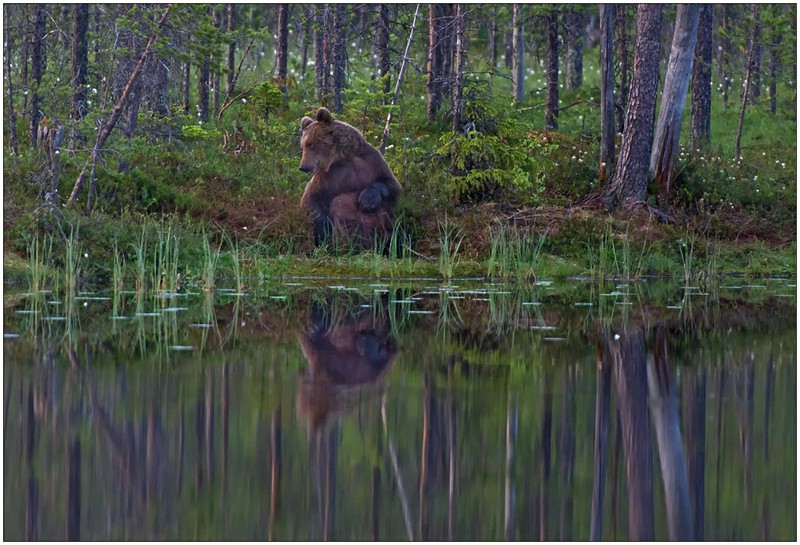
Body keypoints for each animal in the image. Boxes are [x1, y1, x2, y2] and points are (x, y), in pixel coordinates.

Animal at [298, 106, 404, 246]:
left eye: (311, 144)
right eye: (303, 146)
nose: (303, 167)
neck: (343, 157)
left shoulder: (371, 160)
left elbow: (391, 185)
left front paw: (367, 199)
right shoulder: (328, 175)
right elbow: (311, 198)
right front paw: (322, 233)